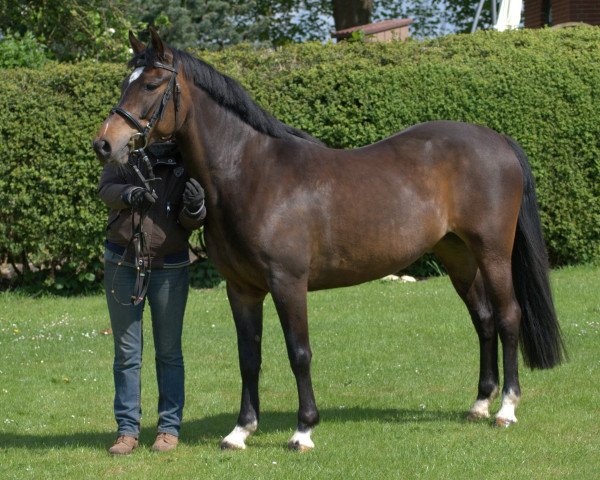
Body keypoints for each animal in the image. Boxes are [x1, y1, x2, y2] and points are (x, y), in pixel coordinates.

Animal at [92, 29, 564, 450]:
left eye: (152, 84)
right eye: (125, 82)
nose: (105, 143)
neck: (252, 173)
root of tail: (497, 139)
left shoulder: (288, 283)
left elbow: (299, 352)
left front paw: (303, 431)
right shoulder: (241, 289)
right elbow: (249, 357)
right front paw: (241, 431)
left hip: (492, 252)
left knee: (507, 317)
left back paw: (506, 409)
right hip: (458, 255)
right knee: (483, 319)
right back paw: (480, 404)